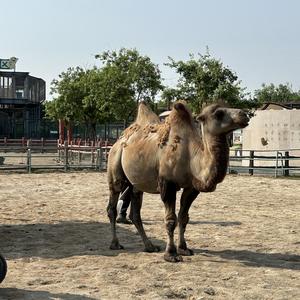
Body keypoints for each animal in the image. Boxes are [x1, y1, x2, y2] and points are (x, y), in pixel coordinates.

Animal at [106, 99, 250, 262]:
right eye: (218, 113)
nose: (244, 114)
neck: (191, 156)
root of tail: (119, 140)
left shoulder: (191, 188)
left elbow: (183, 217)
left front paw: (183, 248)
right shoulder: (167, 185)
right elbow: (171, 220)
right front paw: (171, 254)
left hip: (136, 184)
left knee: (135, 213)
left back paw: (150, 246)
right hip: (115, 165)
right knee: (112, 205)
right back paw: (115, 244)